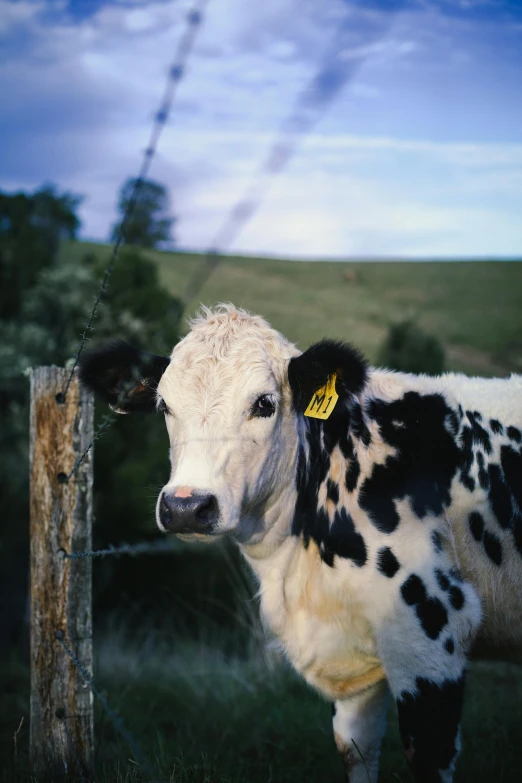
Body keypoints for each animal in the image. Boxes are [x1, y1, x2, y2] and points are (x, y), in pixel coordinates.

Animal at [79, 306, 520, 783]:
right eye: (164, 405)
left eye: (263, 404)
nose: (186, 505)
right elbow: (356, 750)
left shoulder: (432, 630)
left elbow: (427, 755)